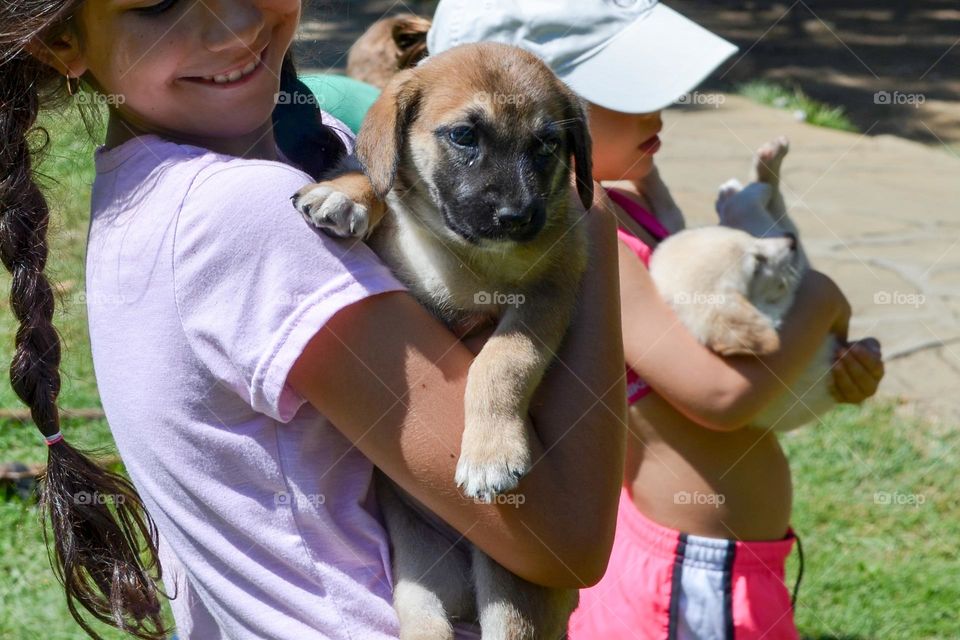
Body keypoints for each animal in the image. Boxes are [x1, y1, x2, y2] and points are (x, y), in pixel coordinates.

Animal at [290, 42, 592, 636]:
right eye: (465, 136)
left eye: (547, 144)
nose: (517, 216)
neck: (457, 250)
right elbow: (375, 177)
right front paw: (344, 194)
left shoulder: (549, 294)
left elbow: (503, 361)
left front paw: (491, 451)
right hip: (418, 576)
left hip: (512, 586)